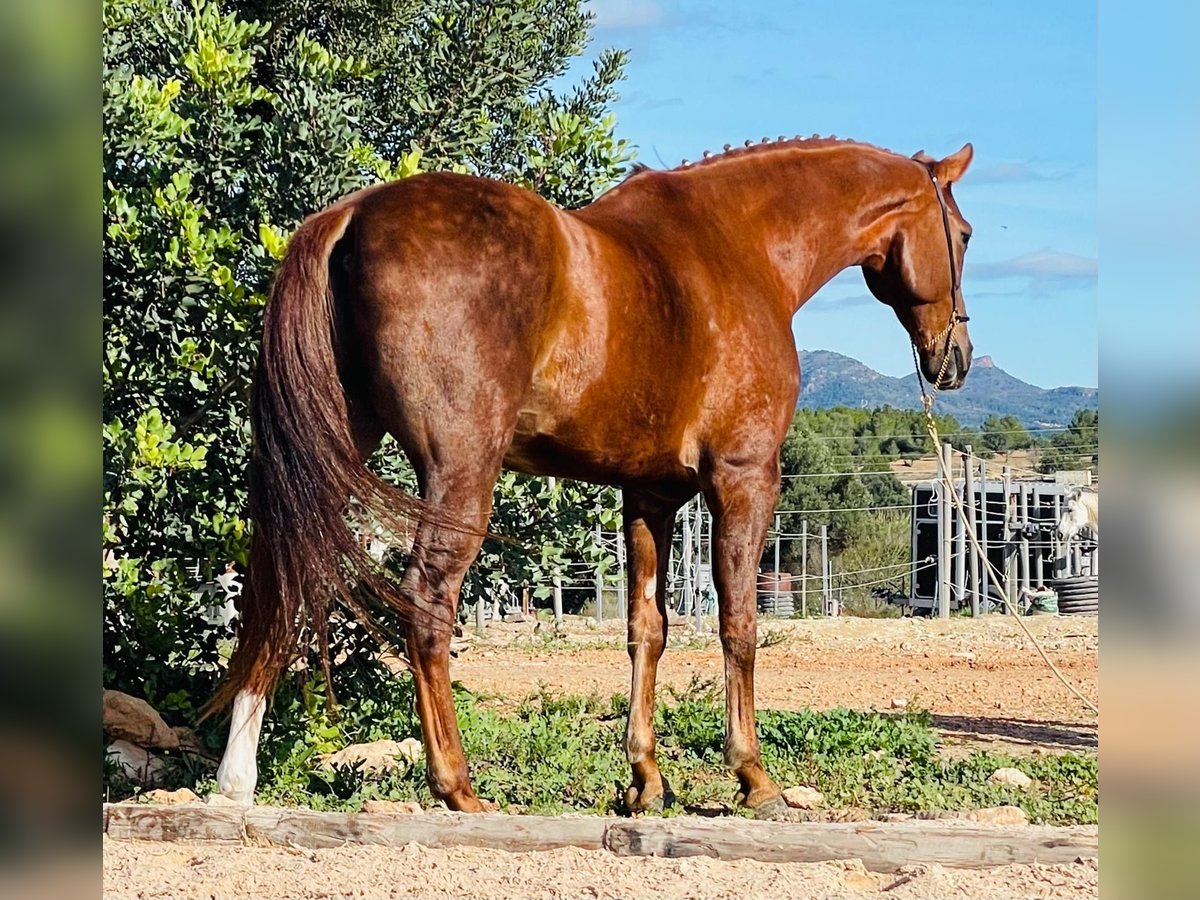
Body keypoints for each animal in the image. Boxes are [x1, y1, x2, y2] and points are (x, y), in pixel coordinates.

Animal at [208, 137, 974, 820]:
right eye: (962, 234)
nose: (957, 356)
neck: (734, 249)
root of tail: (353, 213)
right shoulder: (745, 479)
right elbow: (739, 624)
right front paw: (754, 779)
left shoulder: (650, 495)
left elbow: (647, 629)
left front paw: (646, 781)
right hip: (461, 476)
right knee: (425, 601)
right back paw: (457, 786)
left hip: (331, 456)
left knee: (281, 582)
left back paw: (235, 777)